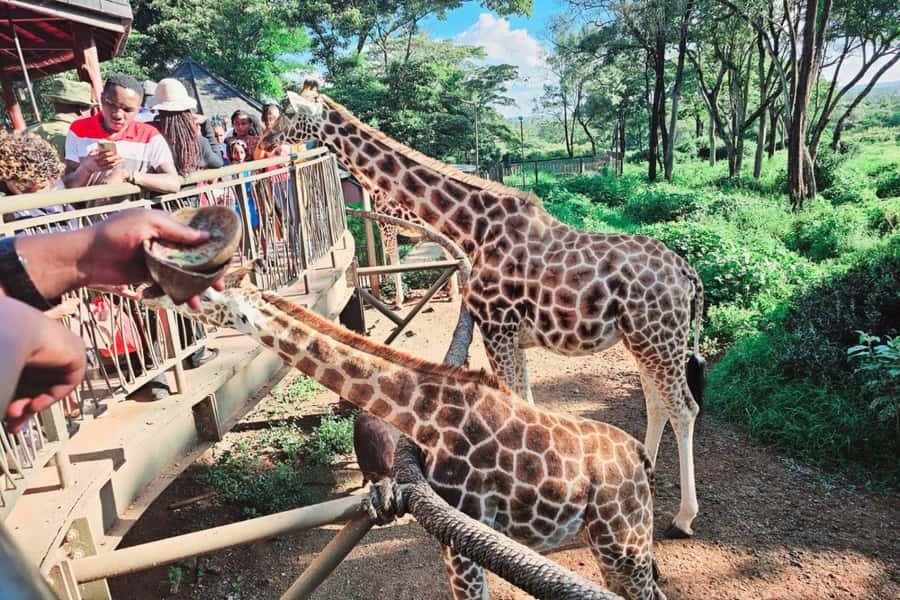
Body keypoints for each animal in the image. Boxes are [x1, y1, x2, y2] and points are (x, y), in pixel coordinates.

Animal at [144, 270, 665, 600]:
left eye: (203, 296)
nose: (145, 293)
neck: (422, 413)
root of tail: (640, 458)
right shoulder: (453, 535)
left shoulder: (464, 531)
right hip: (608, 542)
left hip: (624, 539)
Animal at [259, 84, 706, 538]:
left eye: (287, 111)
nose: (266, 143)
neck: (471, 227)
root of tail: (688, 275)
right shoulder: (514, 336)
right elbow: (528, 403)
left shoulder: (496, 327)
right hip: (644, 340)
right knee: (657, 404)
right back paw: (644, 474)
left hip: (658, 339)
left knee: (684, 409)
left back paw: (683, 517)